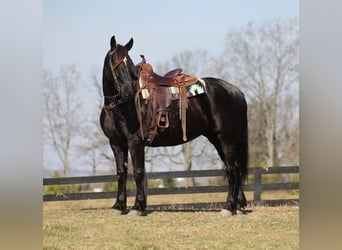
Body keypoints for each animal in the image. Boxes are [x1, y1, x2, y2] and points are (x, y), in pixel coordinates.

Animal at [99, 36, 248, 216]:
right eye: (115, 63)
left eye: (130, 65)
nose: (129, 92)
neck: (118, 107)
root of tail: (237, 92)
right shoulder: (116, 143)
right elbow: (121, 173)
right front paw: (118, 206)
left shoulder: (135, 142)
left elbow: (138, 172)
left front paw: (137, 208)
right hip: (218, 140)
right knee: (235, 169)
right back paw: (237, 206)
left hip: (227, 140)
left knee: (232, 170)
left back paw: (228, 207)